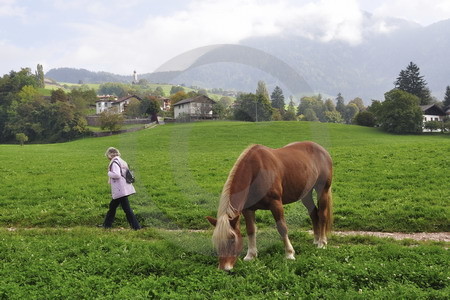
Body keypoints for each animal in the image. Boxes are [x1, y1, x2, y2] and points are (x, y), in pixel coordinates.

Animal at [207, 142, 330, 270]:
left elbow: (282, 228)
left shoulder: (275, 204)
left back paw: (322, 243)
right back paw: (316, 240)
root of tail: (321, 149)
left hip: (323, 190)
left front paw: (289, 254)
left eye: (232, 239)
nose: (224, 268)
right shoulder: (248, 209)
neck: (254, 171)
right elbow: (250, 230)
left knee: (322, 215)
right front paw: (251, 255)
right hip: (306, 194)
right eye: (216, 241)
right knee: (313, 214)